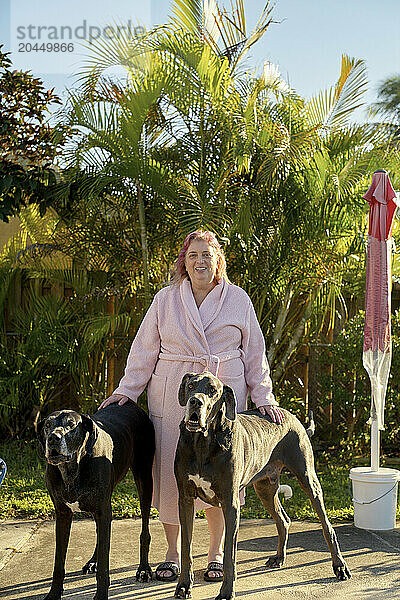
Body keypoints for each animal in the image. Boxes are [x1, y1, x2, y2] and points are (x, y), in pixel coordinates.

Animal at [36, 400, 155, 600]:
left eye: (71, 424)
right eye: (47, 425)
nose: (53, 438)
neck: (72, 468)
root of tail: (131, 404)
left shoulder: (102, 511)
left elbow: (104, 567)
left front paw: (100, 594)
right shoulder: (63, 514)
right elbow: (59, 562)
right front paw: (54, 593)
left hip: (144, 479)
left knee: (144, 530)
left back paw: (144, 569)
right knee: (100, 535)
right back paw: (93, 561)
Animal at [174, 372, 350, 596]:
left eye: (213, 390)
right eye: (190, 385)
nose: (195, 401)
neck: (203, 443)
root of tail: (294, 418)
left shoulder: (230, 504)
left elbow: (230, 553)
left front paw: (226, 592)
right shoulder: (185, 500)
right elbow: (186, 547)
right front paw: (183, 585)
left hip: (308, 480)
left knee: (328, 528)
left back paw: (340, 567)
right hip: (265, 488)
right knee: (283, 520)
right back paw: (279, 558)